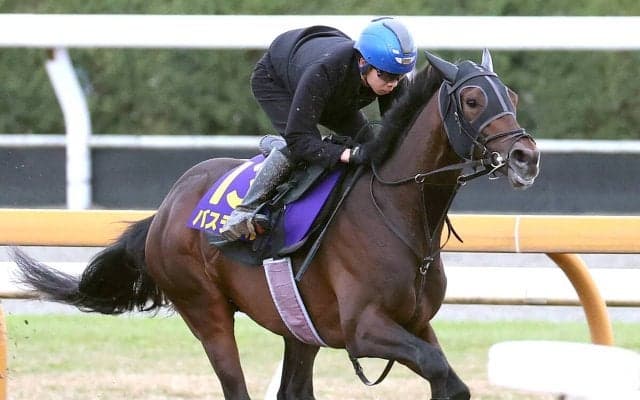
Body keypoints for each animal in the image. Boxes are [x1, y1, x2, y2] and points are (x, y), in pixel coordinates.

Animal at [12, 49, 540, 400]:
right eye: (471, 100)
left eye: (511, 95)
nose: (526, 157)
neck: (397, 212)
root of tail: (164, 210)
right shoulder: (364, 329)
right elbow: (440, 370)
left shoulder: (414, 322)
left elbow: (449, 381)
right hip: (206, 311)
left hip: (298, 325)